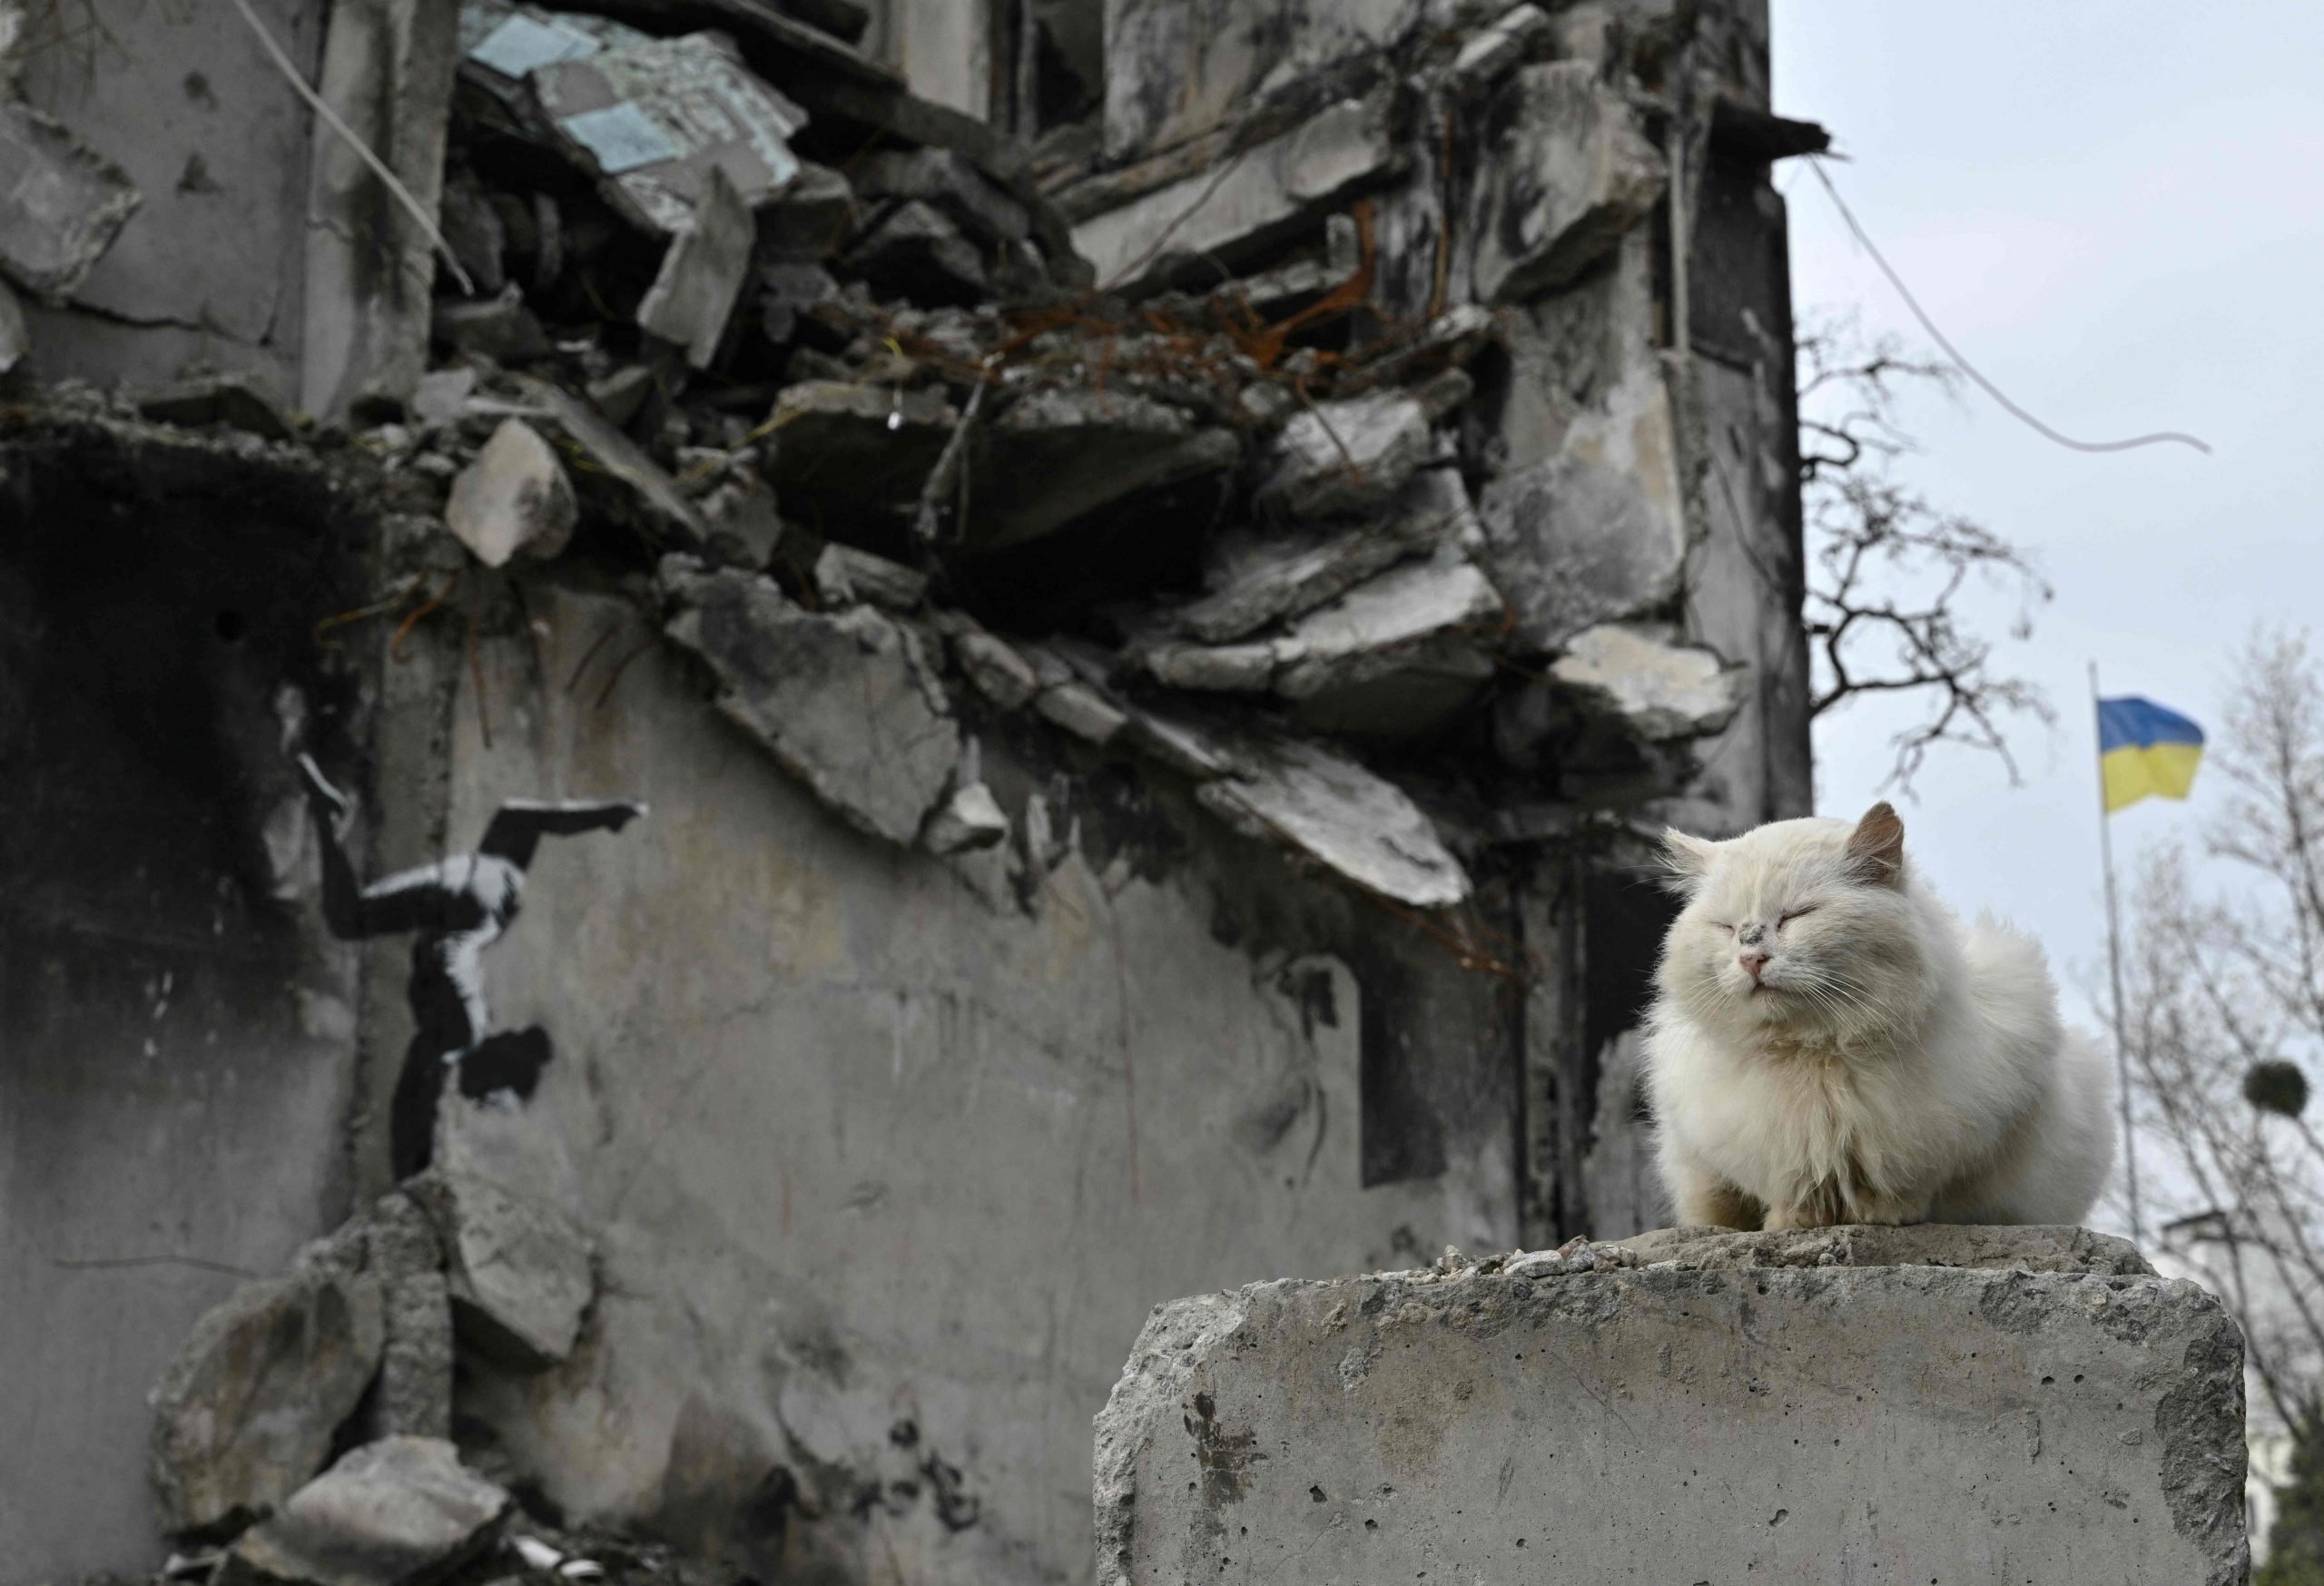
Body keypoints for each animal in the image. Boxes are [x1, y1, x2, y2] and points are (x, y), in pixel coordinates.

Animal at [1645, 795, 2119, 1227]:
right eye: (1727, 927)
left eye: (1798, 915)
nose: (1751, 958)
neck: (1815, 1052)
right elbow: (1793, 1192)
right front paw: (1793, 1223)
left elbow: (1908, 1189)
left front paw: (1880, 1214)